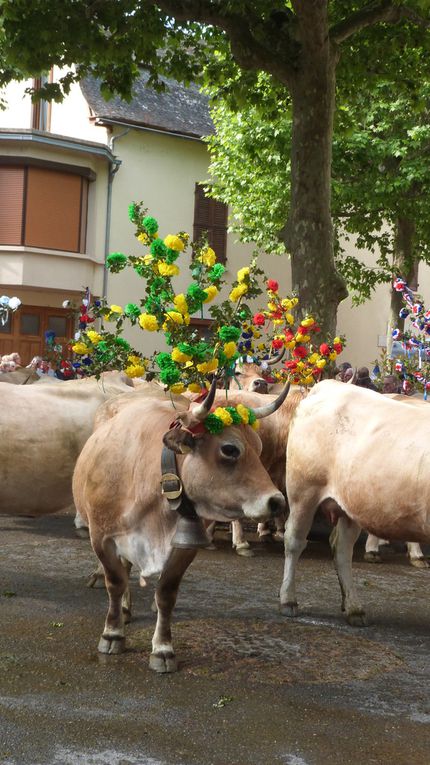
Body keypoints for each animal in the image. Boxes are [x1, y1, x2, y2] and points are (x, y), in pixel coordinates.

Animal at [73, 376, 288, 668]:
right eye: (230, 449)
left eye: (259, 447)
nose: (276, 501)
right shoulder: (101, 537)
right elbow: (115, 582)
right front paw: (112, 634)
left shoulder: (185, 545)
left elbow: (166, 593)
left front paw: (163, 648)